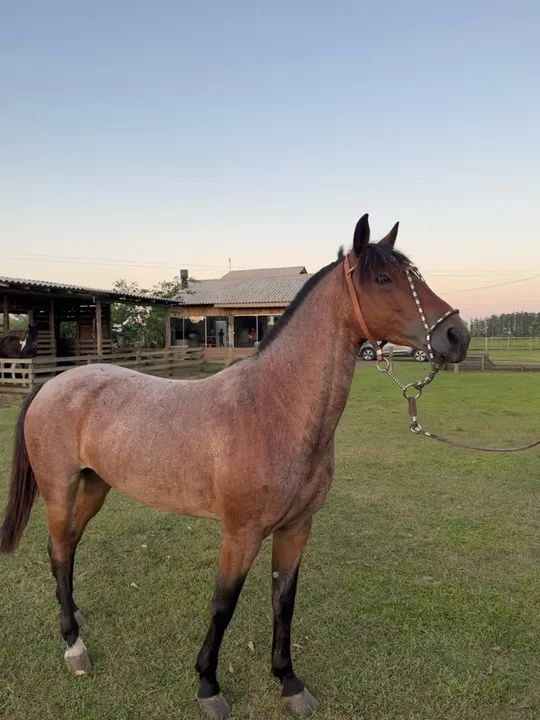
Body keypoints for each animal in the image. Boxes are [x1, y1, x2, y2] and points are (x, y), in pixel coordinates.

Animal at [0, 215, 470, 719]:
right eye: (383, 279)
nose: (456, 335)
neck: (274, 407)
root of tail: (53, 384)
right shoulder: (240, 534)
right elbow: (223, 606)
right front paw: (208, 685)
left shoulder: (296, 528)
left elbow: (283, 602)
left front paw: (288, 681)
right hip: (59, 489)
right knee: (60, 550)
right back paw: (73, 645)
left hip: (94, 488)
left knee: (65, 548)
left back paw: (74, 616)